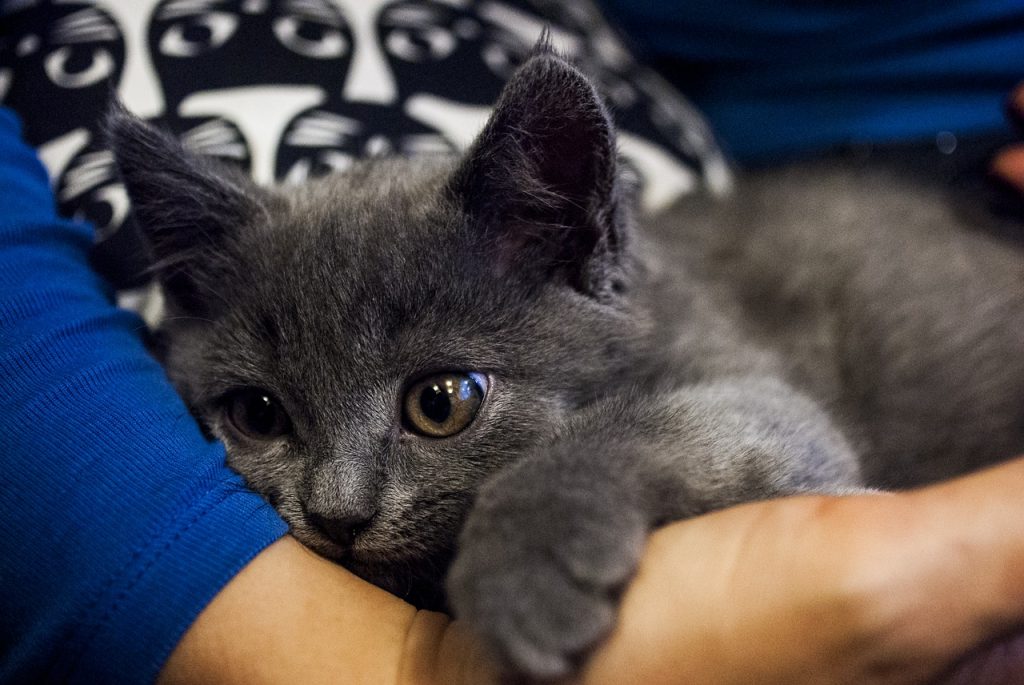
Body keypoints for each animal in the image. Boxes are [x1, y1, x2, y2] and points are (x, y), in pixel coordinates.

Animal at [105, 49, 1024, 679]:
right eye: (256, 414)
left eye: (442, 400)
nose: (337, 512)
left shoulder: (766, 389)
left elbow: (660, 422)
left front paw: (524, 569)